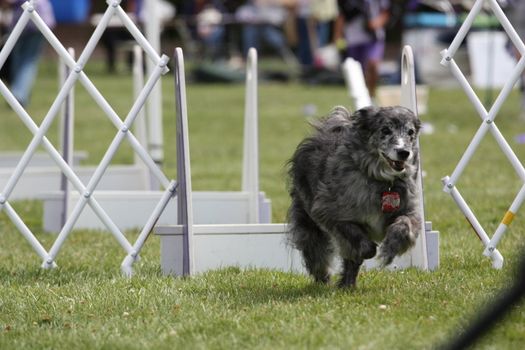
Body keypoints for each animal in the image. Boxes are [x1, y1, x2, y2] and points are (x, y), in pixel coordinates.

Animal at [286, 104, 422, 288]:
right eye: (385, 130)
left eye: (410, 132)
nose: (404, 152)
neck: (381, 180)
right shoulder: (328, 212)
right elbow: (355, 237)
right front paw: (368, 250)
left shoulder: (409, 211)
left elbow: (404, 225)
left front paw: (389, 250)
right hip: (308, 224)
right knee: (316, 253)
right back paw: (325, 280)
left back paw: (347, 285)